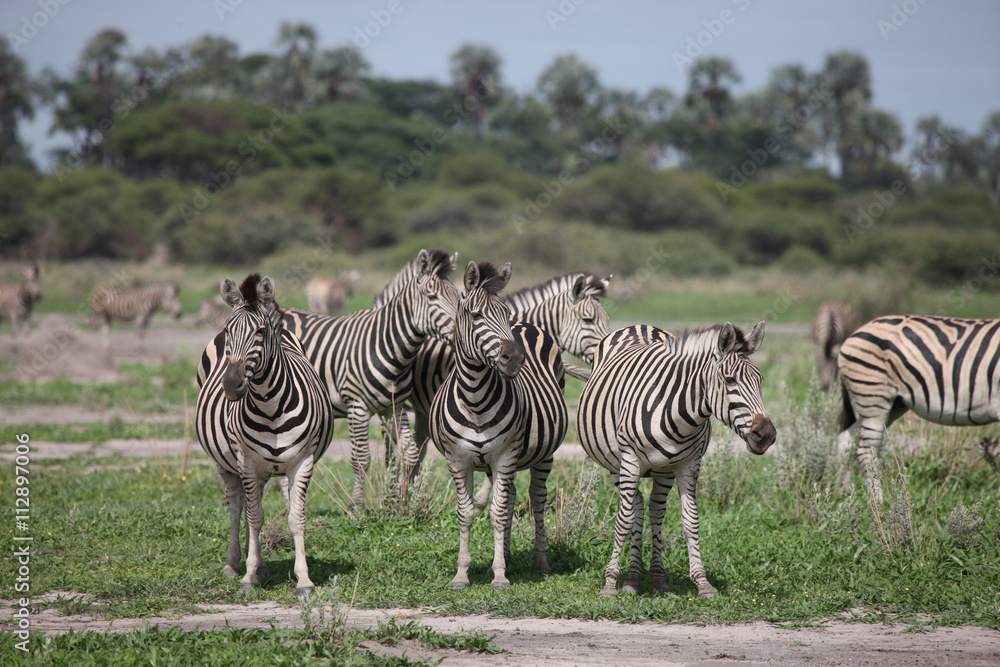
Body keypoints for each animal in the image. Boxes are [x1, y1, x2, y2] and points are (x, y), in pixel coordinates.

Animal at [195, 274, 333, 595]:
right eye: (228, 330)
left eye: (259, 331)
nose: (231, 386)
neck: (270, 406)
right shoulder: (245, 461)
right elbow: (254, 517)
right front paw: (248, 577)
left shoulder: (303, 462)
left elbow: (296, 518)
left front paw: (304, 579)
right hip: (226, 462)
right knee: (237, 506)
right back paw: (235, 563)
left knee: (250, 503)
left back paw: (260, 563)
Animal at [429, 261, 569, 590]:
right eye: (476, 315)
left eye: (505, 314)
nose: (515, 358)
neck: (475, 398)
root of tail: (526, 324)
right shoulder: (457, 459)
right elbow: (468, 513)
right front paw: (462, 573)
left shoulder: (505, 455)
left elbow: (497, 512)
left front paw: (500, 575)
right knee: (511, 498)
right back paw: (505, 553)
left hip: (543, 454)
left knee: (536, 499)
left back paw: (540, 562)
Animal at [576, 322, 776, 597]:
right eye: (729, 380)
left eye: (760, 380)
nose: (766, 435)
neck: (681, 412)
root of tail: (638, 325)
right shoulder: (630, 461)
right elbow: (623, 521)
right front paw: (609, 584)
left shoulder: (688, 464)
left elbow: (690, 520)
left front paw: (702, 582)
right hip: (616, 465)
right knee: (634, 508)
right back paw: (632, 578)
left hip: (663, 471)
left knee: (653, 510)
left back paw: (653, 577)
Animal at [837, 314, 1000, 497]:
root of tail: (857, 331)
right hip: (874, 397)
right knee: (866, 450)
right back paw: (878, 501)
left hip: (893, 403)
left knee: (846, 438)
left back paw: (843, 492)